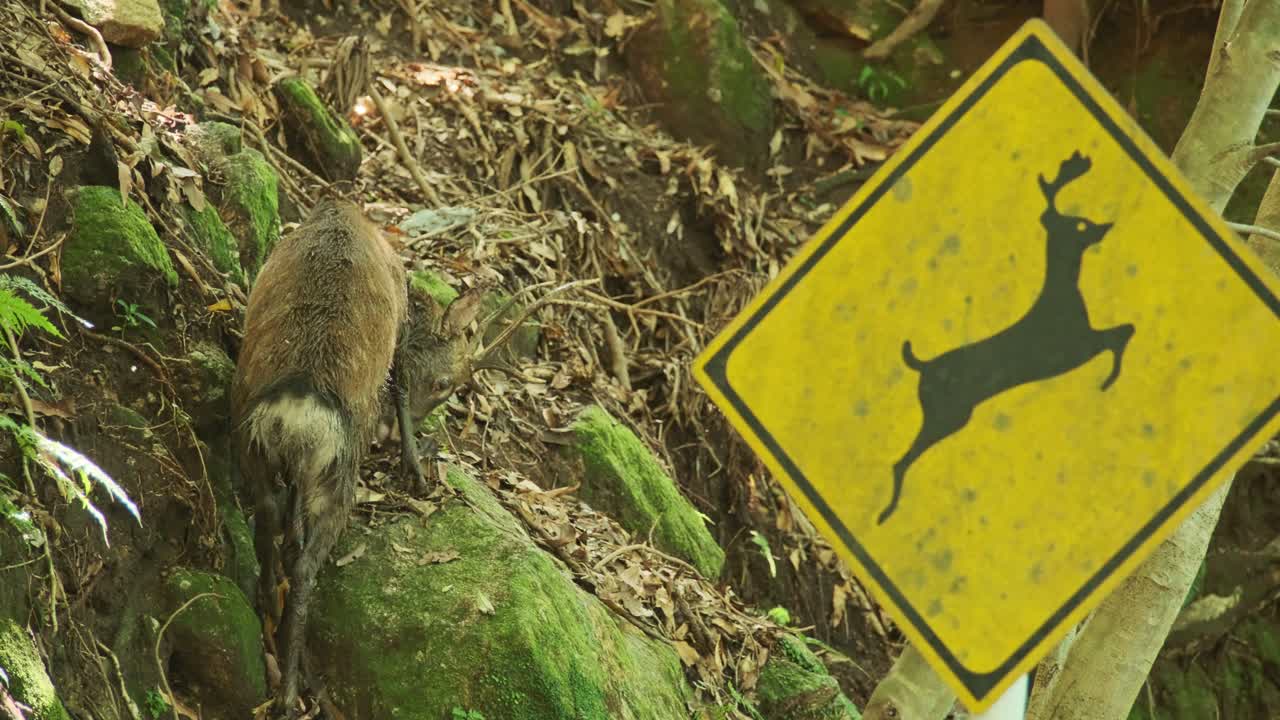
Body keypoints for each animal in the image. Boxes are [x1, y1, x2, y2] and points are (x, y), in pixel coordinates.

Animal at [882, 151, 1135, 525]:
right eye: (1079, 225)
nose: (1105, 227)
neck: (1064, 293)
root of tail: (922, 367)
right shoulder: (1075, 348)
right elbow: (1121, 334)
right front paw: (1109, 380)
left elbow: (1122, 332)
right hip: (949, 414)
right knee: (901, 461)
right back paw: (887, 512)